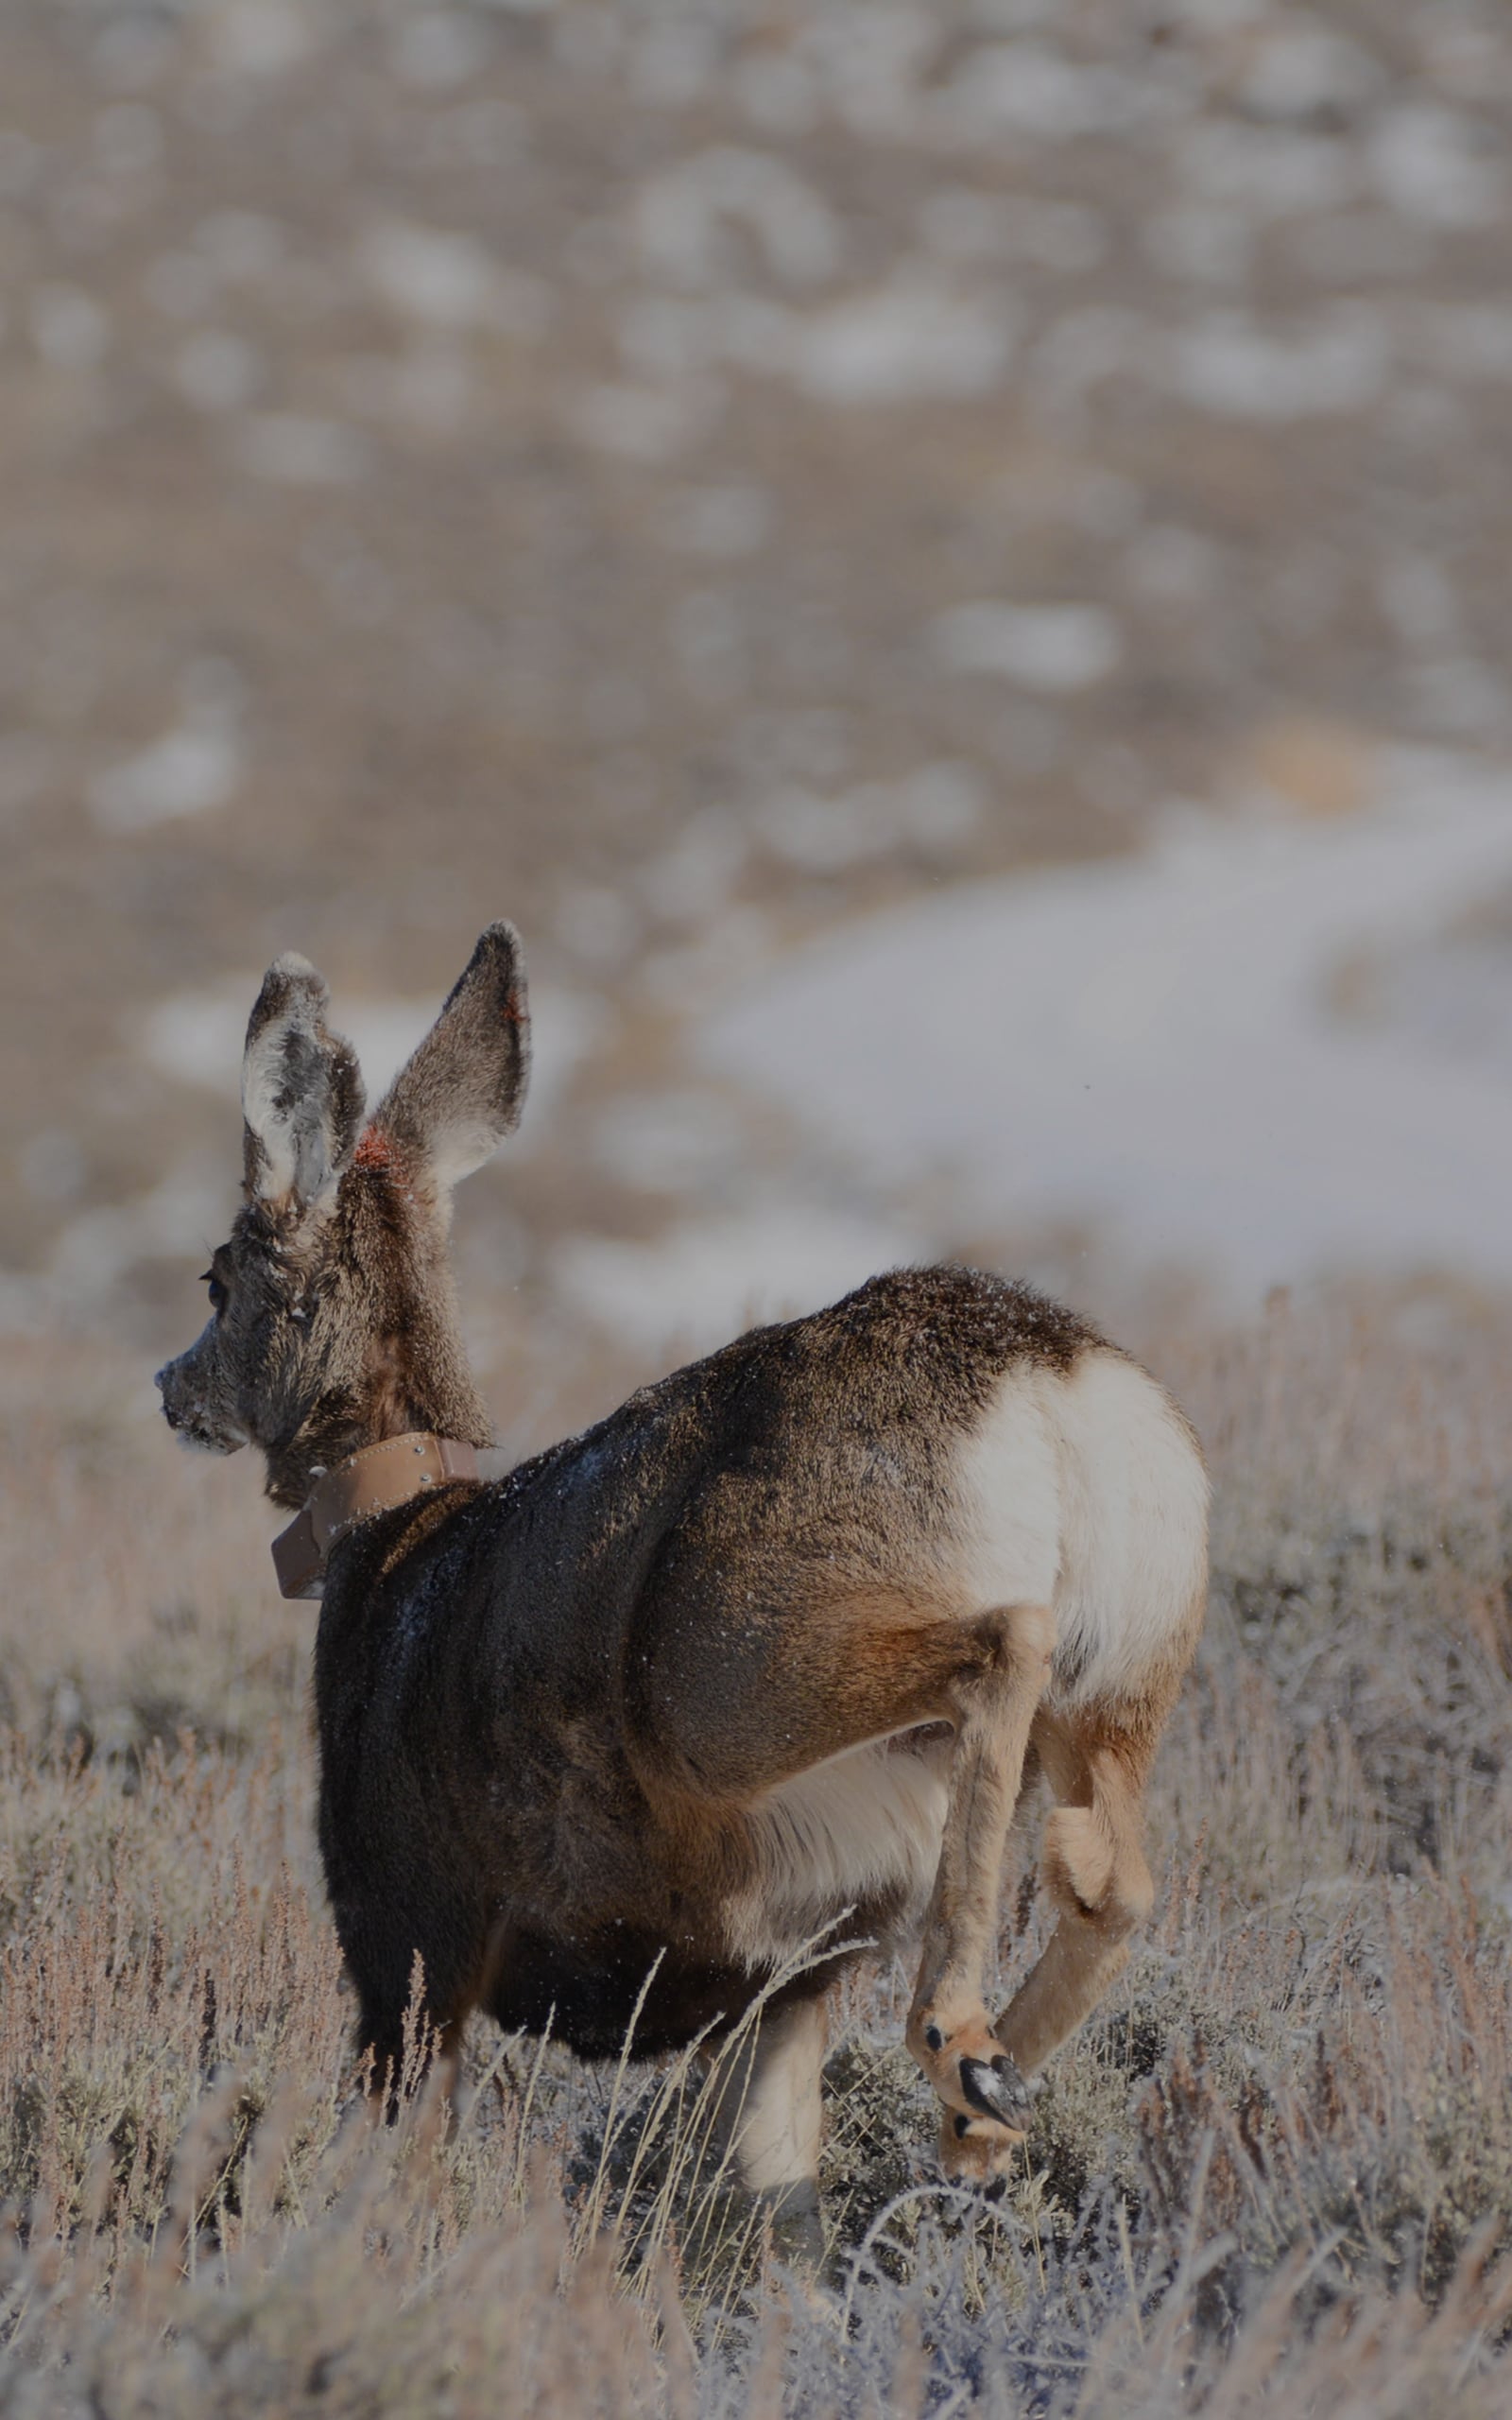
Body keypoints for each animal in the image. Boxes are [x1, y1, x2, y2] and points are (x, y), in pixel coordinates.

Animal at [155, 923, 1208, 2259]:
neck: (388, 1547)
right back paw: (989, 2098)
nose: (170, 1388)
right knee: (1114, 1868)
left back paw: (961, 2046)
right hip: (1130, 1665)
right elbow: (780, 2203)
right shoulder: (781, 1987)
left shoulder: (408, 1938)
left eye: (215, 1280)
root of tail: (1051, 1377)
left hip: (717, 1673)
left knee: (999, 1646)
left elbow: (376, 2172)